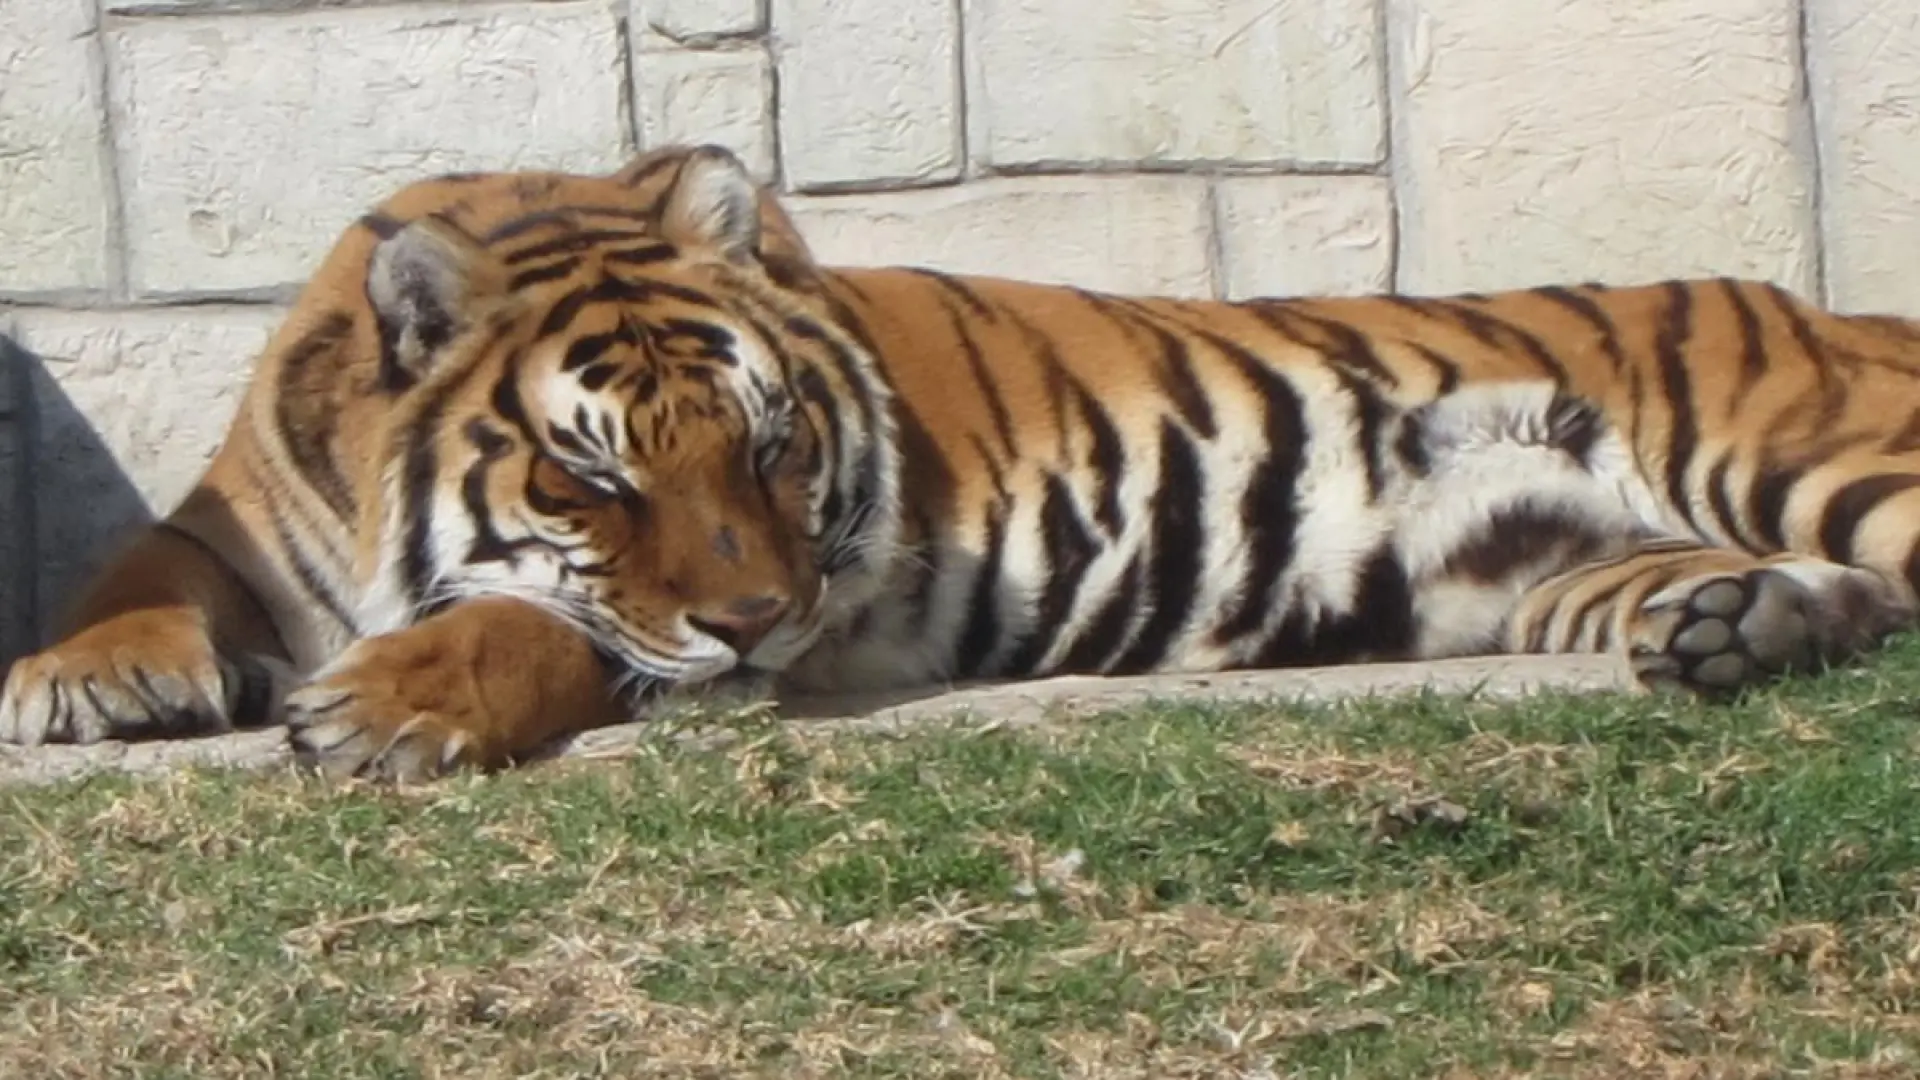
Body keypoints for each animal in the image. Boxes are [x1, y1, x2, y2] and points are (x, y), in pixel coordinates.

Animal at [4, 142, 1919, 783]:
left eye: (773, 448)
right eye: (598, 479)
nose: (757, 619)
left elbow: (550, 630)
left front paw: (393, 704)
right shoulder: (247, 514)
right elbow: (145, 564)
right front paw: (82, 681)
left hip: (1809, 451)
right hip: (1572, 567)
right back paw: (1748, 631)